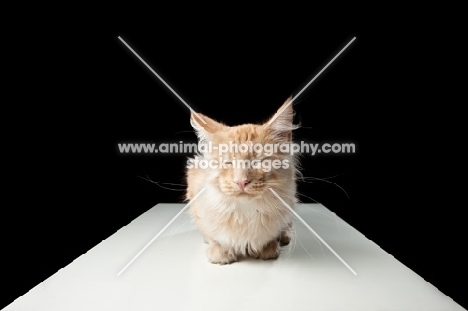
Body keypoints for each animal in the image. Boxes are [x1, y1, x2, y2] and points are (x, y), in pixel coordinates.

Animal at [185, 98, 298, 264]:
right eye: (228, 163)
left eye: (258, 162)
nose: (241, 182)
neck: (245, 211)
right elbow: (214, 235)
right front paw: (221, 251)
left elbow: (271, 237)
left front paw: (269, 247)